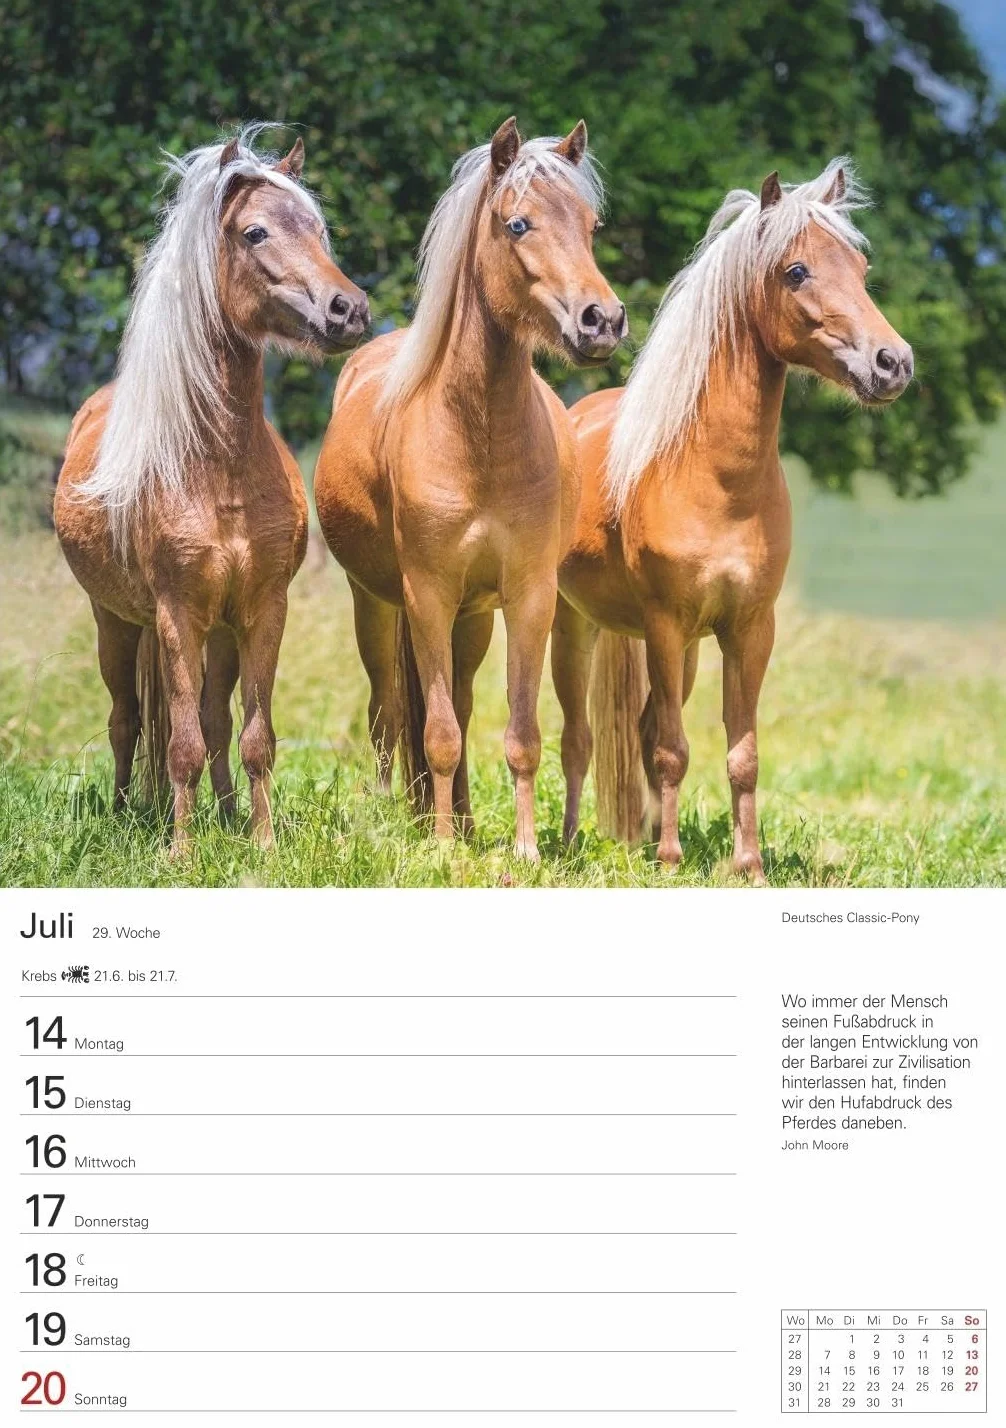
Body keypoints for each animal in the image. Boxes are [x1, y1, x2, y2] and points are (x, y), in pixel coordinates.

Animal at [54, 128, 369, 853]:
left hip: (221, 632)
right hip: (116, 622)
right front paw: (180, 851)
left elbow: (252, 737)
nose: (349, 311)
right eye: (255, 232)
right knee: (126, 720)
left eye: (317, 229)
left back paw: (225, 817)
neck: (218, 471)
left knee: (215, 721)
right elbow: (181, 744)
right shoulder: (177, 617)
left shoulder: (263, 611)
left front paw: (262, 843)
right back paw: (124, 814)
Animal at [314, 117, 626, 861]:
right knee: (390, 710)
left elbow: (518, 734)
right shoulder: (426, 594)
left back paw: (459, 818)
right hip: (378, 606)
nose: (601, 320)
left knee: (455, 698)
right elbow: (437, 732)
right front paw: (440, 847)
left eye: (591, 226)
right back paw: (411, 815)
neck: (479, 437)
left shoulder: (528, 598)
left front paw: (525, 848)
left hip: (473, 617)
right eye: (518, 224)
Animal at [551, 159, 914, 881]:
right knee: (579, 739)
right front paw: (669, 861)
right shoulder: (665, 625)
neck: (716, 483)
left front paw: (747, 865)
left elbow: (740, 754)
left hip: (682, 649)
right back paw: (581, 844)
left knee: (638, 730)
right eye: (796, 271)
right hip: (570, 626)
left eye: (861, 267)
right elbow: (672, 750)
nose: (893, 364)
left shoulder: (748, 629)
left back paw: (637, 838)